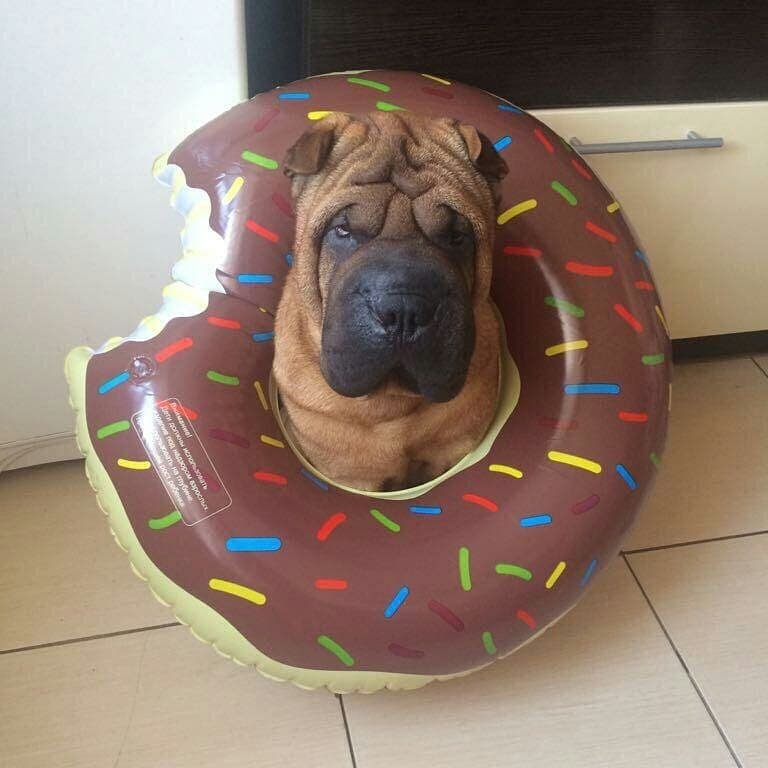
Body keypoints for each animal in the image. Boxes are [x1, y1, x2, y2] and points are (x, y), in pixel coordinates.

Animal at [272, 110, 508, 488]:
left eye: (456, 236)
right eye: (343, 230)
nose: (404, 309)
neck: (394, 406)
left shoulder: (453, 448)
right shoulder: (348, 473)